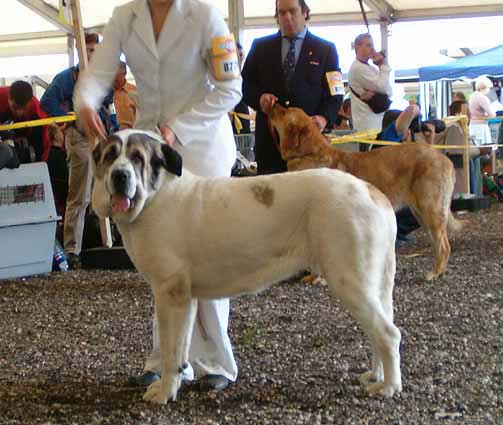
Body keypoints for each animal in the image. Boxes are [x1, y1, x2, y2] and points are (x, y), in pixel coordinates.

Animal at [92, 131, 404, 402]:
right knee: (379, 330)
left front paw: (164, 393)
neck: (156, 197)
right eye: (110, 156)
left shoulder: (171, 295)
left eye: (137, 158)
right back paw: (376, 376)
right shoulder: (185, 300)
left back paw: (388, 387)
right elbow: (180, 351)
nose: (119, 176)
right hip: (370, 285)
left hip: (349, 280)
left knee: (388, 333)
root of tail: (372, 191)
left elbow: (171, 351)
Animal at [270, 104, 462, 280]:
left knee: (444, 246)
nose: (271, 103)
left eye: (284, 111)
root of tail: (445, 159)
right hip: (421, 213)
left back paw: (434, 273)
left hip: (430, 209)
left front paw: (318, 278)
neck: (309, 154)